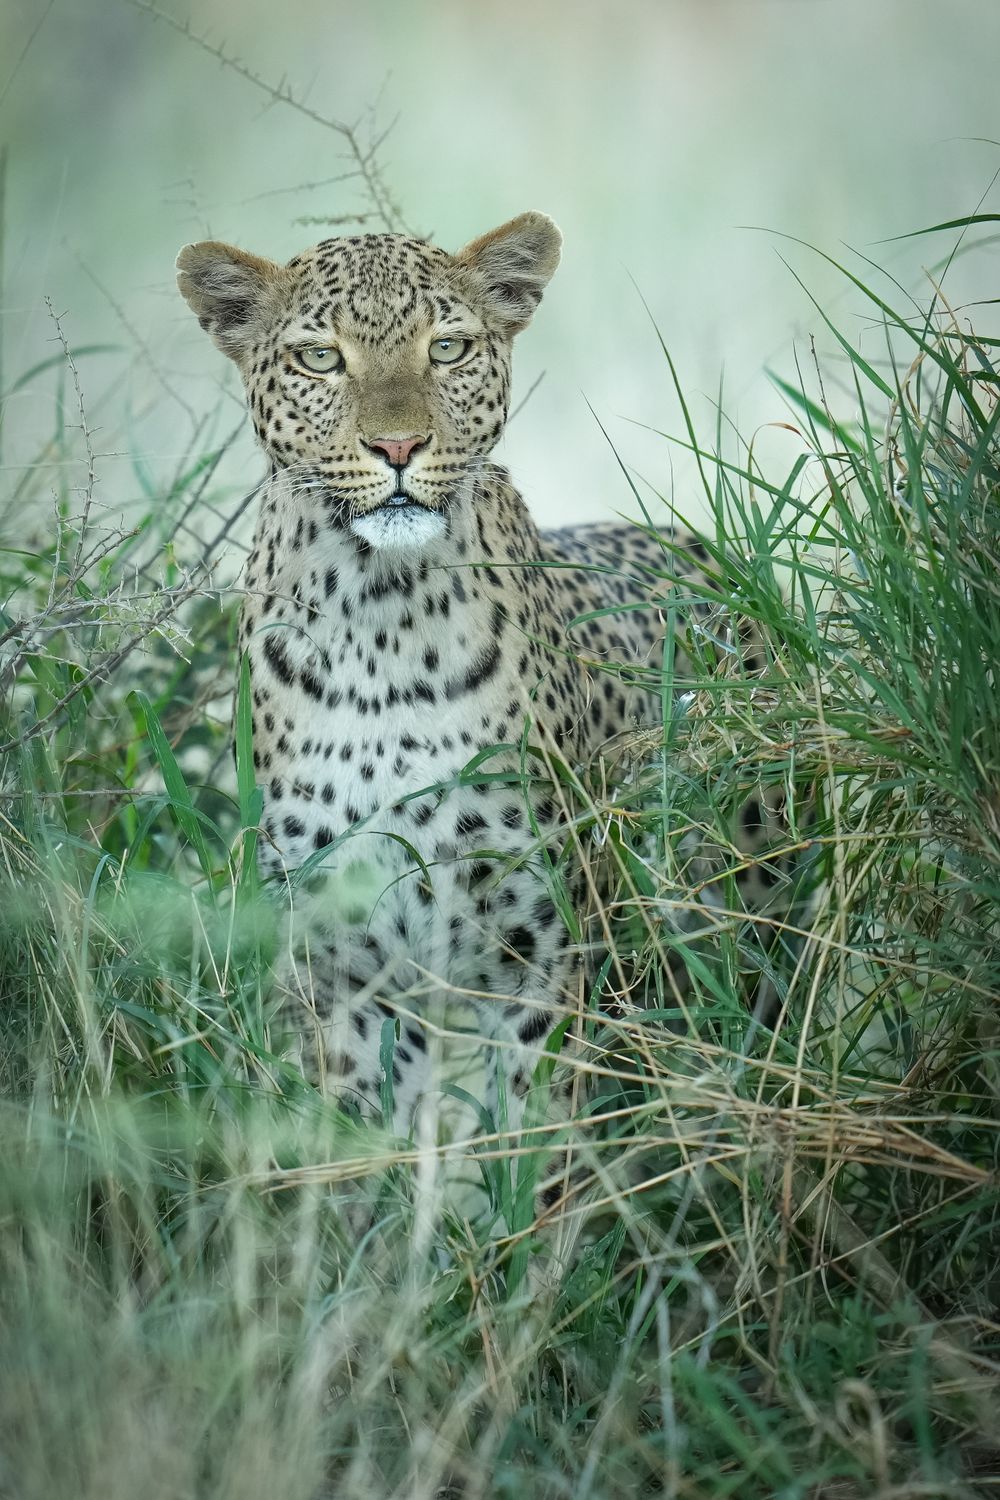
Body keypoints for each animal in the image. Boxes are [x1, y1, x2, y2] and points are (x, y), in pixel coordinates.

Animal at [176, 212, 784, 1210]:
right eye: (319, 359)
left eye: (448, 348)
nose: (397, 449)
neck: (376, 619)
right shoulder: (341, 969)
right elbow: (354, 1157)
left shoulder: (547, 953)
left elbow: (540, 1153)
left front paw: (532, 1246)